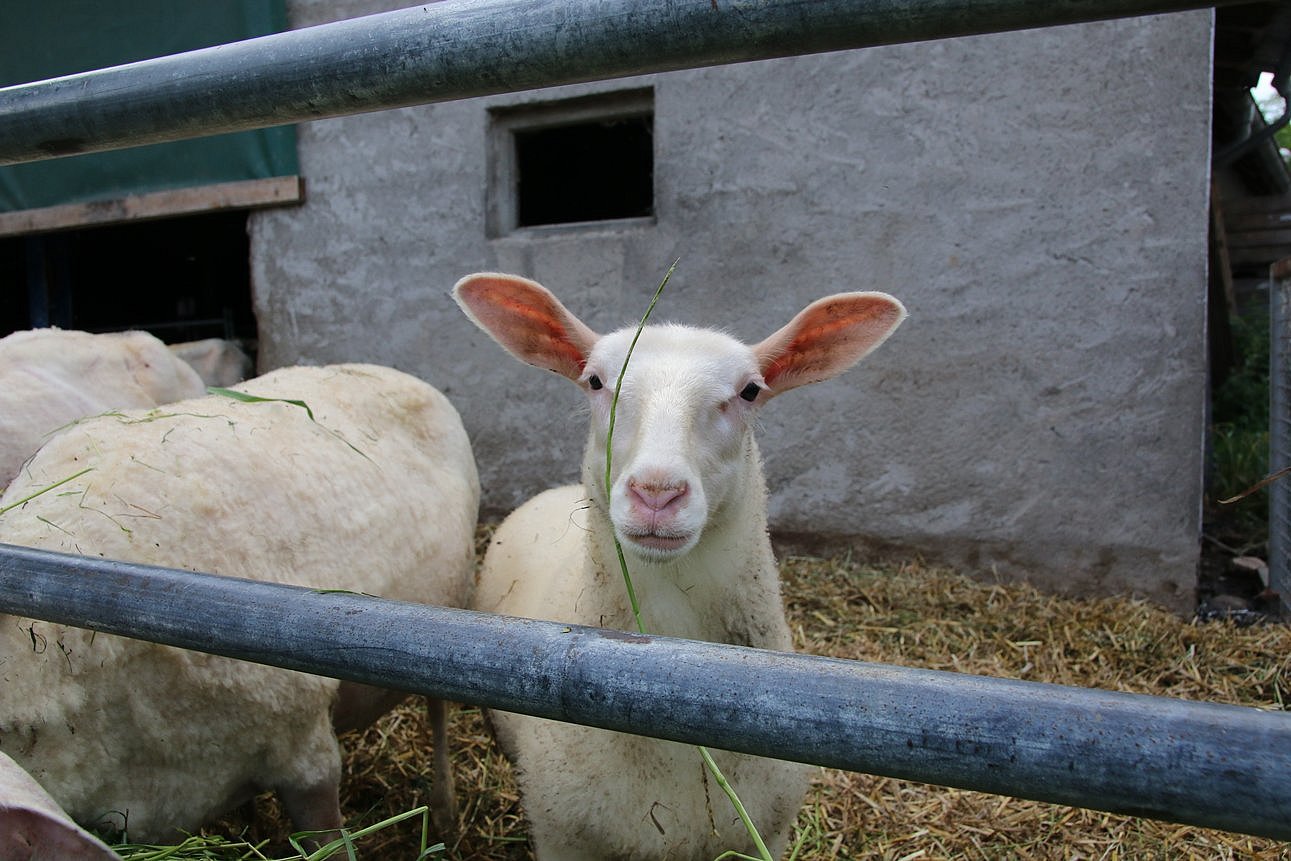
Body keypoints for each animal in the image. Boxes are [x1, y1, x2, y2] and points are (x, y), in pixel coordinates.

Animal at [0, 361, 480, 846]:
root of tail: (383, 369)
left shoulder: (304, 753)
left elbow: (326, 839)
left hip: (444, 612)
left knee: (438, 711)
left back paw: (444, 810)